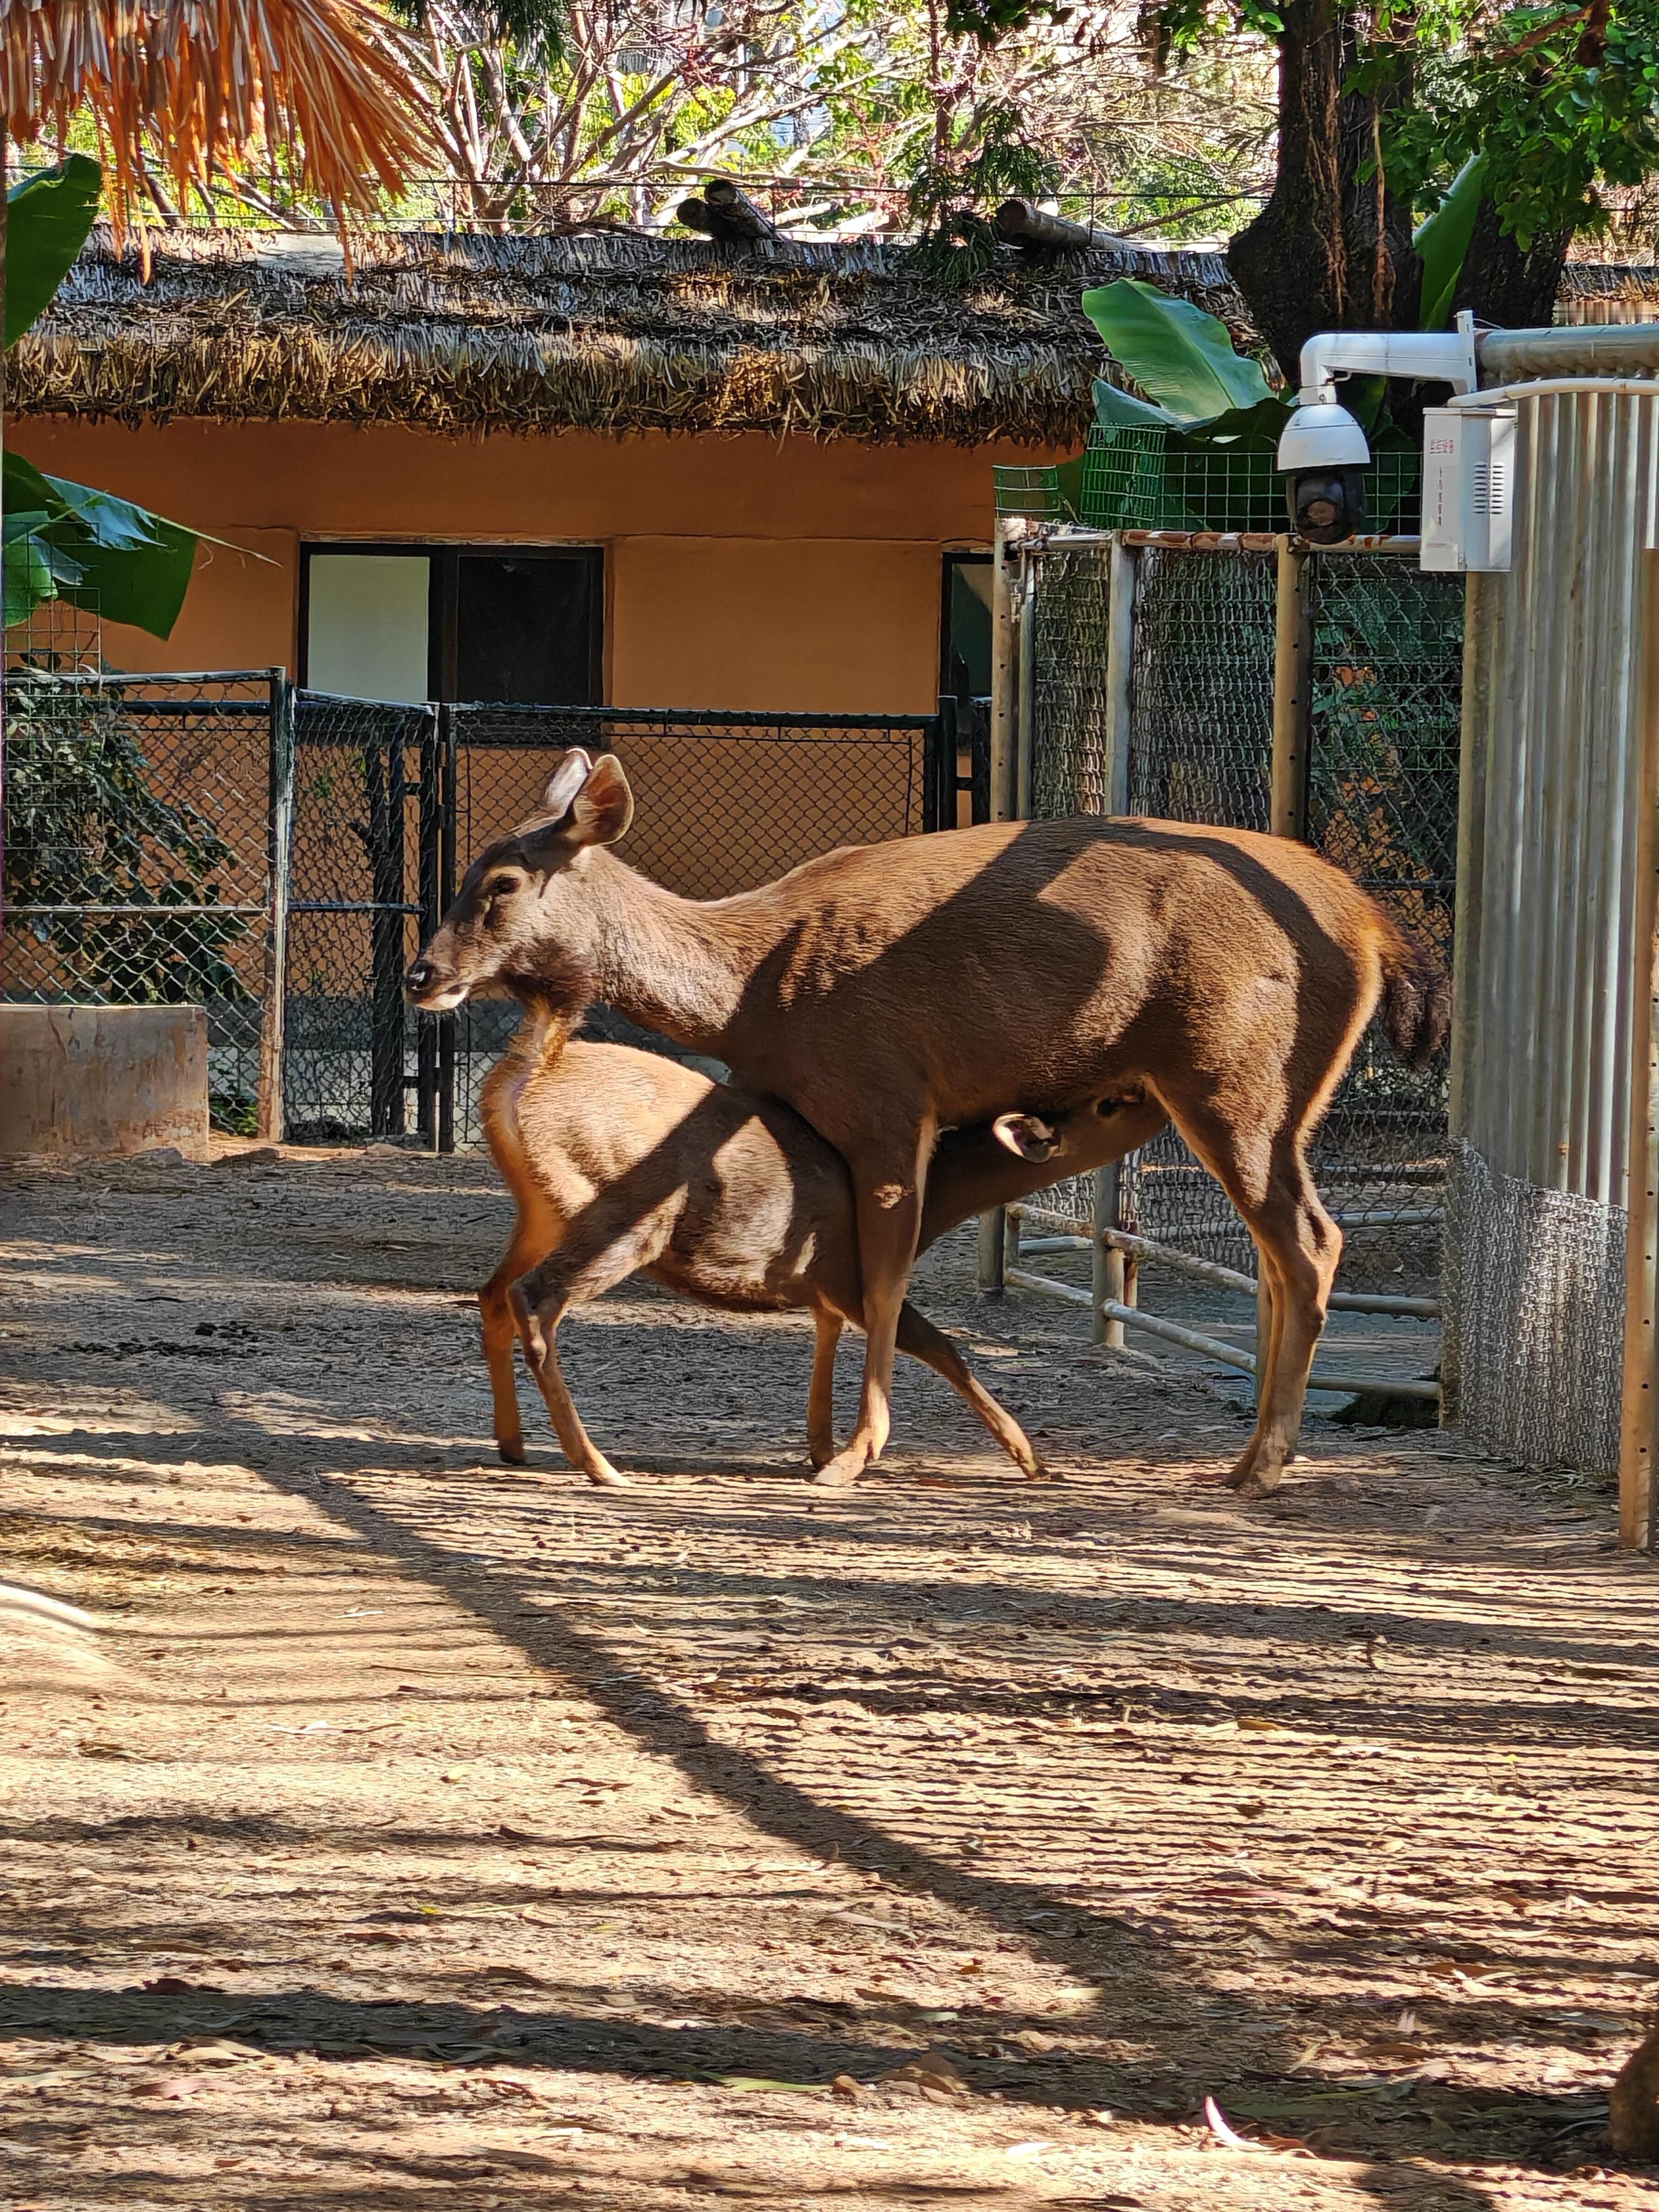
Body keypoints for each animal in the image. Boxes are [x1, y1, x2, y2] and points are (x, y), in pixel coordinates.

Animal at [473, 1004, 1159, 1486]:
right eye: (1107, 1104)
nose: (1151, 1092)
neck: (933, 1202)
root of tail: (522, 1076)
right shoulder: (851, 1273)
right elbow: (940, 1346)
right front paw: (1032, 1460)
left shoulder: (822, 1282)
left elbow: (826, 1338)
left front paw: (820, 1447)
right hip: (621, 1210)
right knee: (534, 1297)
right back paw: (598, 1464)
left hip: (542, 1212)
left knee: (491, 1293)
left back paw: (514, 1444)